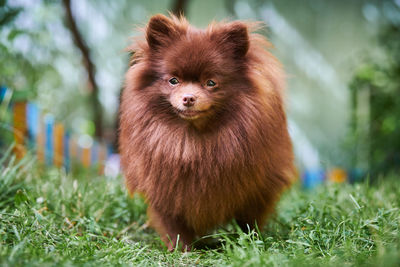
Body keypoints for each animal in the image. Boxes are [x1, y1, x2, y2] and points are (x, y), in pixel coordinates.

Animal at [117, 13, 296, 252]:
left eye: (211, 82)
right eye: (173, 81)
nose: (189, 97)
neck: (193, 141)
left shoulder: (257, 190)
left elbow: (249, 220)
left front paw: (249, 243)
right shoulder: (165, 191)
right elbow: (174, 226)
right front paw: (181, 250)